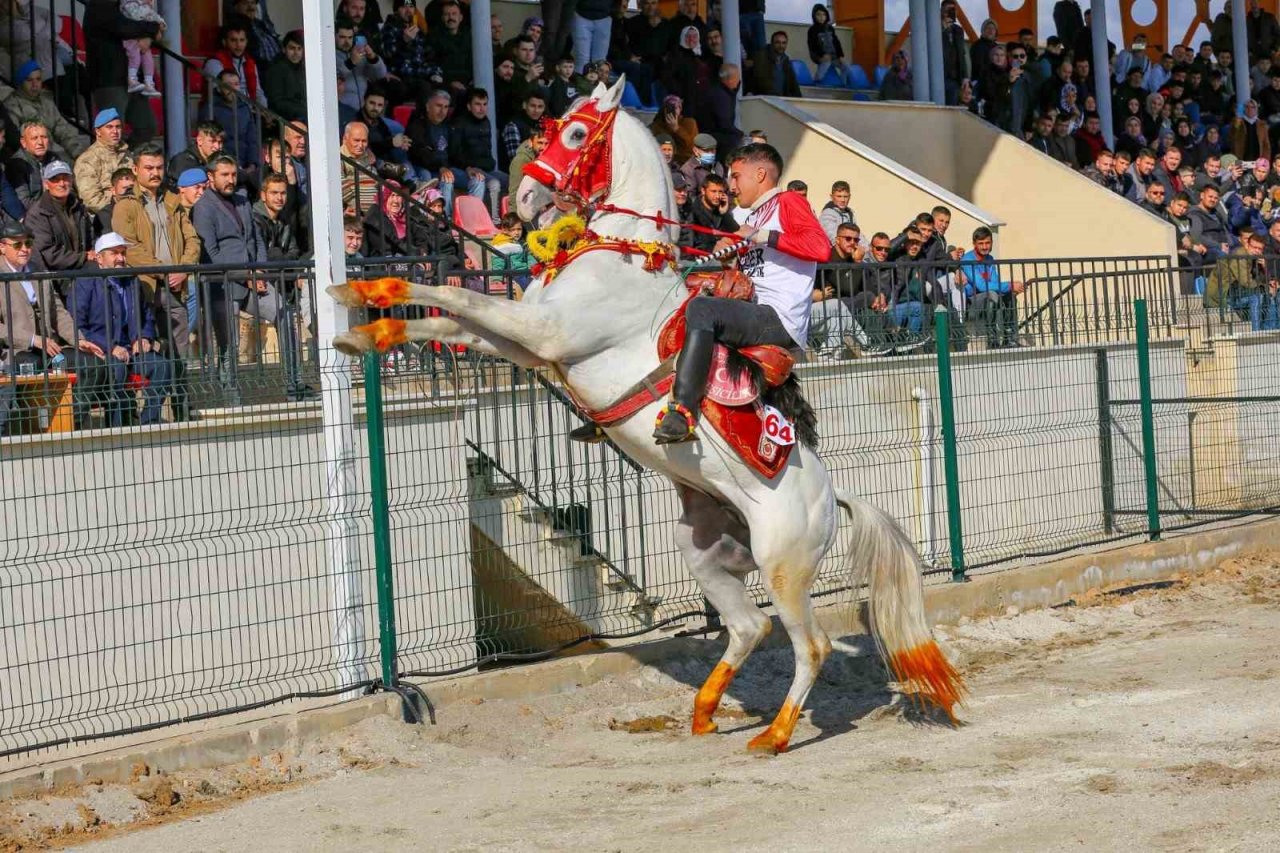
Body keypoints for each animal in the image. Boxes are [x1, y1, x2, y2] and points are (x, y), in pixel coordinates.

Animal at [330, 76, 962, 747]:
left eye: (576, 132)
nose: (525, 198)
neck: (621, 255)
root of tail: (830, 493)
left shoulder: (542, 333)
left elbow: (456, 298)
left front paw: (360, 297)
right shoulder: (525, 341)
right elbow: (452, 317)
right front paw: (362, 325)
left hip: (783, 567)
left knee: (808, 645)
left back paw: (774, 735)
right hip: (705, 551)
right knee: (748, 627)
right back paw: (705, 713)